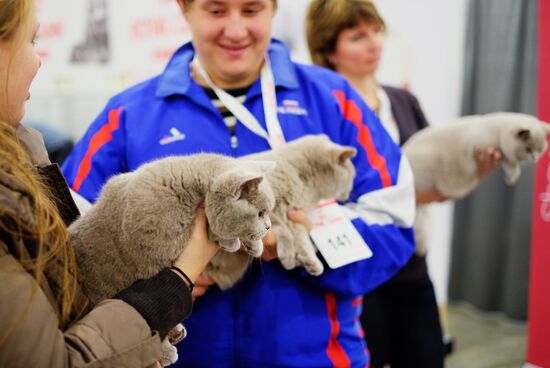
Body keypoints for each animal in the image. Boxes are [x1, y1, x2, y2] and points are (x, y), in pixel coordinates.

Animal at [210, 134, 358, 284]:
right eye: (352, 177)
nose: (349, 193)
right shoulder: (269, 209)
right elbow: (284, 232)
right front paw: (289, 257)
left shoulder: (294, 215)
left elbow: (301, 239)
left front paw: (308, 260)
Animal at [402, 111, 550, 198]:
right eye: (528, 149)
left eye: (540, 150)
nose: (535, 158)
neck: (498, 134)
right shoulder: (478, 148)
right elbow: (506, 160)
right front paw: (512, 176)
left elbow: (508, 161)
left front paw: (511, 176)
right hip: (432, 157)